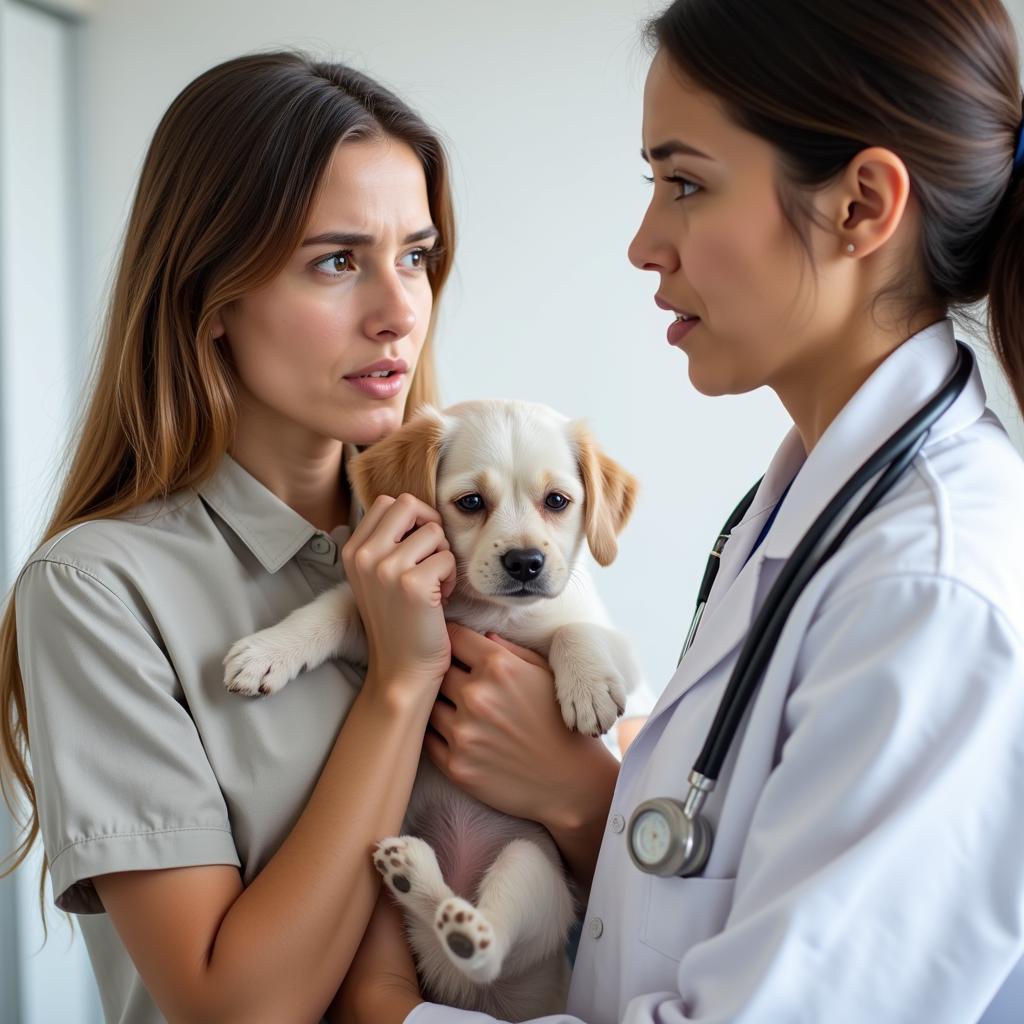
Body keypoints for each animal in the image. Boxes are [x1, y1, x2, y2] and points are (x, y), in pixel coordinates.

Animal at [225, 397, 638, 1015]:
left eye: (557, 501)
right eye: (471, 502)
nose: (525, 562)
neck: (489, 612)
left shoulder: (622, 651)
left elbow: (576, 629)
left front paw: (587, 686)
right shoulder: (377, 629)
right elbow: (329, 610)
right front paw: (266, 652)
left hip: (532, 870)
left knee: (490, 944)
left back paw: (453, 913)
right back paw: (413, 877)